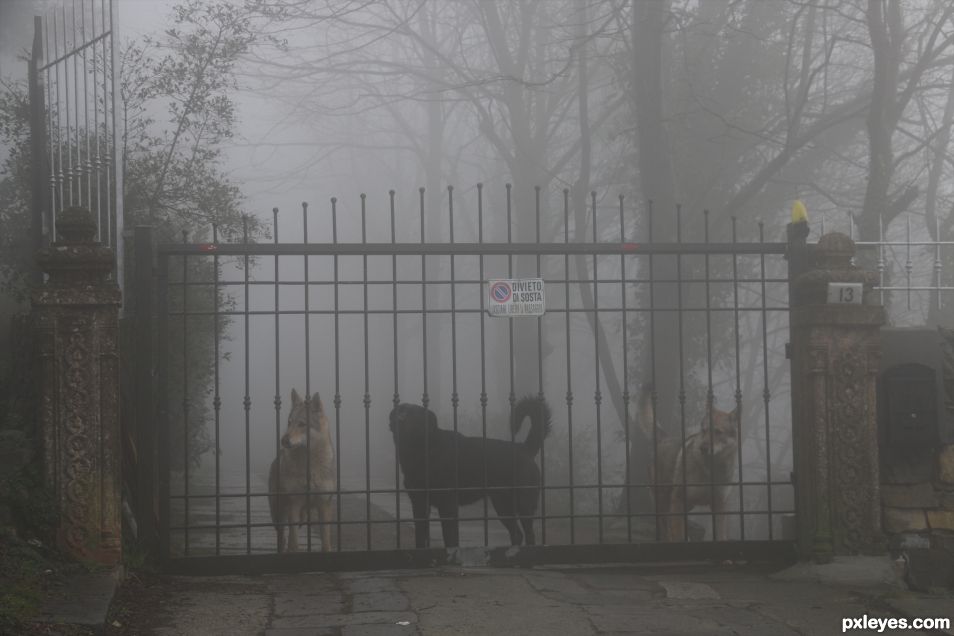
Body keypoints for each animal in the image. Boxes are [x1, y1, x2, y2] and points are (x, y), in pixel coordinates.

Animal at [266, 388, 336, 552]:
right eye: (289, 423)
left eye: (302, 424)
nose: (284, 440)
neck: (309, 467)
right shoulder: (294, 504)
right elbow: (294, 543)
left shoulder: (324, 505)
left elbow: (326, 542)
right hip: (278, 515)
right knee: (282, 539)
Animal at [386, 396, 552, 548]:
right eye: (400, 411)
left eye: (415, 415)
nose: (399, 420)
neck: (422, 451)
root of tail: (524, 448)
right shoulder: (419, 504)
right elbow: (421, 538)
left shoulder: (447, 505)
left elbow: (450, 538)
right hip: (502, 506)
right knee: (517, 533)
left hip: (523, 504)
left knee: (529, 534)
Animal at [636, 382, 740, 540]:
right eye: (704, 431)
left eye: (718, 432)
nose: (703, 448)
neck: (711, 470)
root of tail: (665, 437)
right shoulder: (678, 499)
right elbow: (677, 534)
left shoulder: (719, 506)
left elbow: (721, 535)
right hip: (664, 501)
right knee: (665, 526)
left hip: (684, 505)